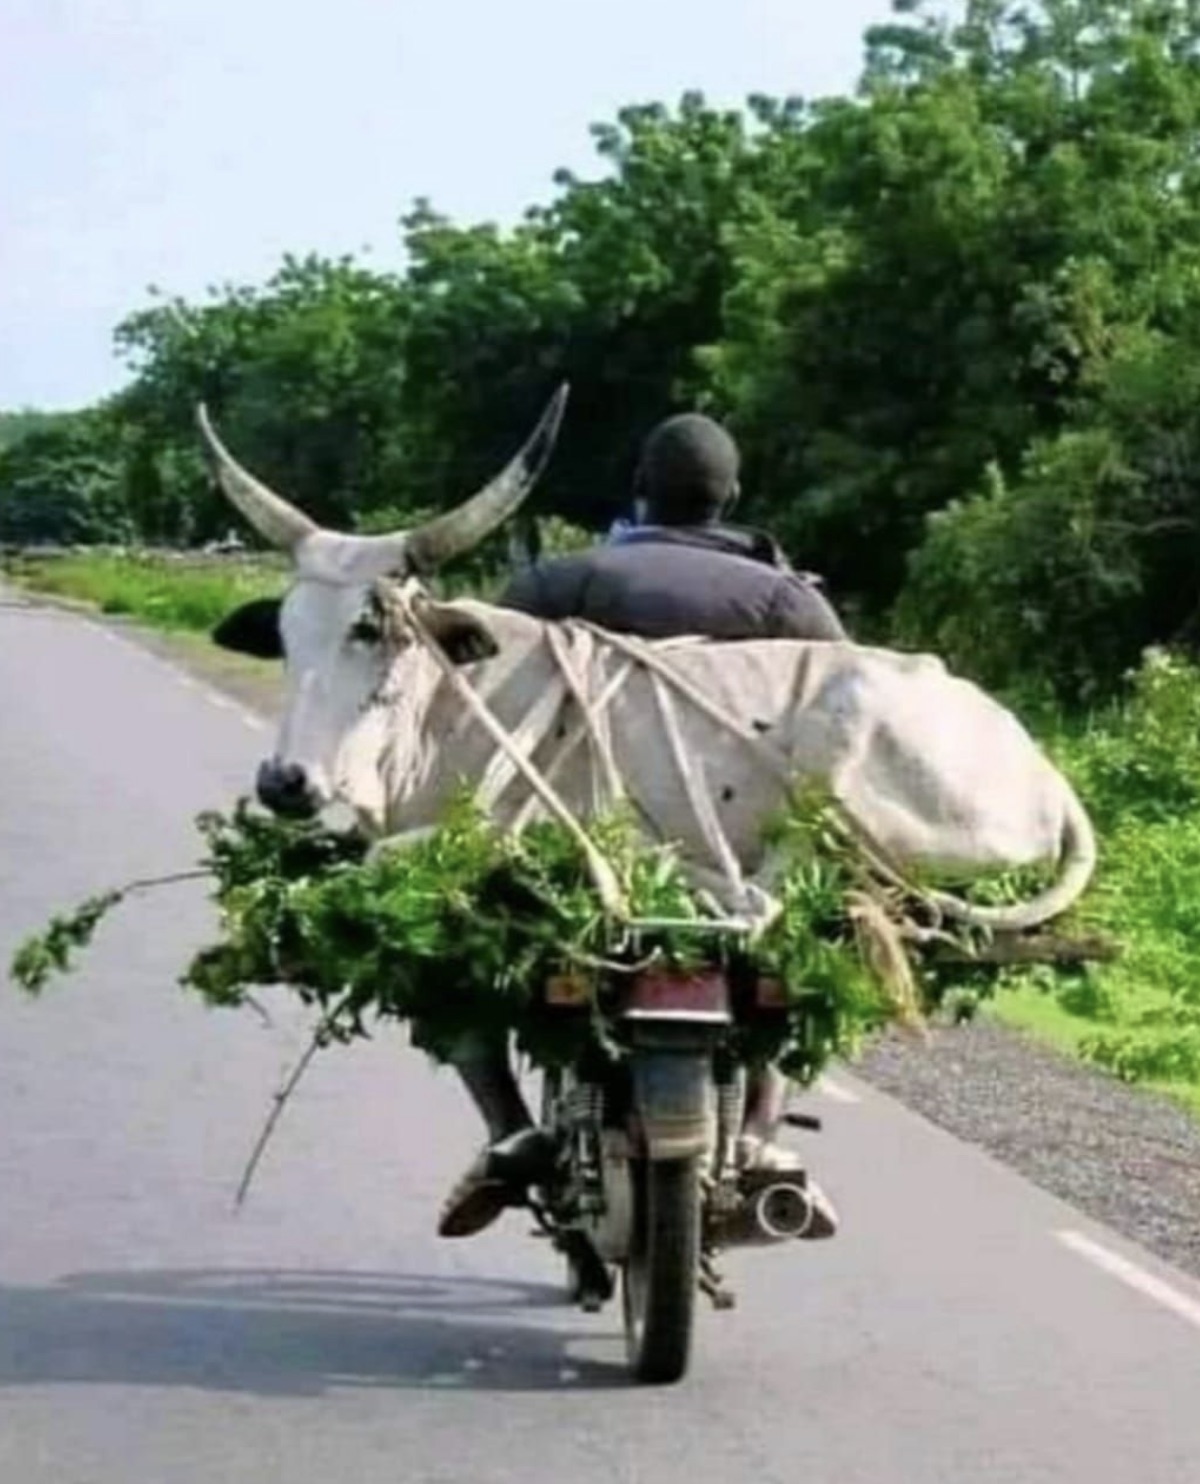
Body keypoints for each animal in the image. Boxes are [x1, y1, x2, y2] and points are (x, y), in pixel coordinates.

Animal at [198, 394, 1097, 926]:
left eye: (374, 628)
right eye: (287, 632)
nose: (286, 782)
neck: (448, 708)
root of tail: (1046, 778)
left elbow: (390, 854)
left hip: (839, 751)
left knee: (769, 893)